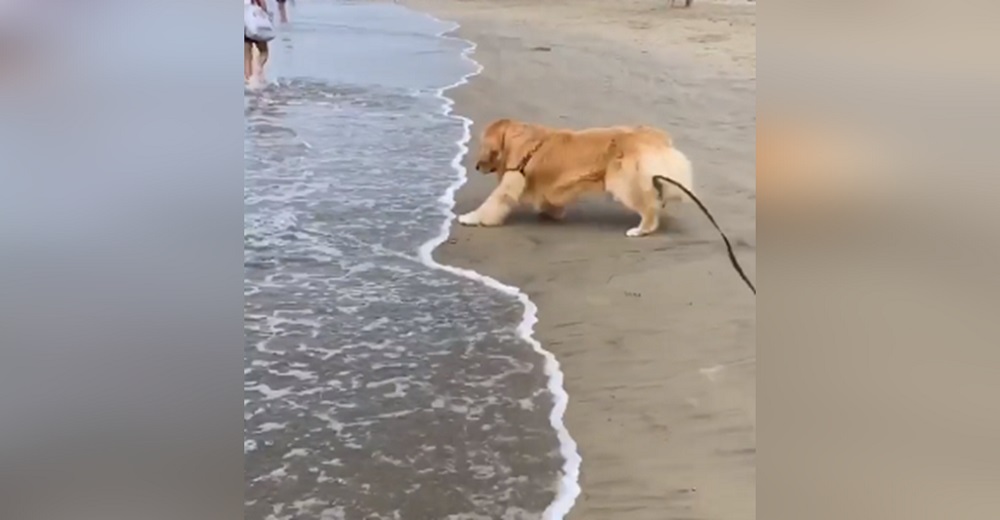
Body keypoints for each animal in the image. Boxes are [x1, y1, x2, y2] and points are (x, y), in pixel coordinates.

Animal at [460, 119, 696, 237]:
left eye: (483, 146)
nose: (476, 166)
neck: (515, 139)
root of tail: (654, 136)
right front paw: (553, 212)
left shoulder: (514, 177)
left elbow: (492, 202)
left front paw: (471, 218)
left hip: (622, 180)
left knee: (646, 207)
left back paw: (642, 229)